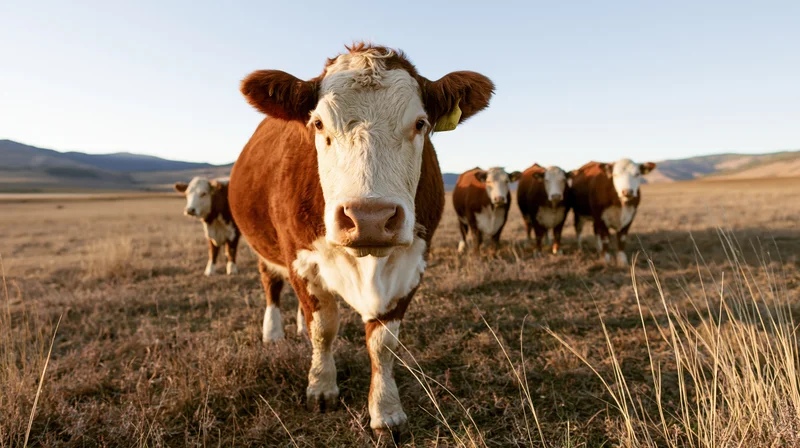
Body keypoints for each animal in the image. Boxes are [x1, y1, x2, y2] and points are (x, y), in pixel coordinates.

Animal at [228, 43, 494, 440]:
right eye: (319, 123)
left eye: (420, 124)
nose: (370, 218)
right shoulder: (300, 258)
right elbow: (324, 328)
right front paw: (321, 387)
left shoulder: (412, 264)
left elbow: (383, 342)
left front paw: (386, 411)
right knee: (272, 284)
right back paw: (273, 332)